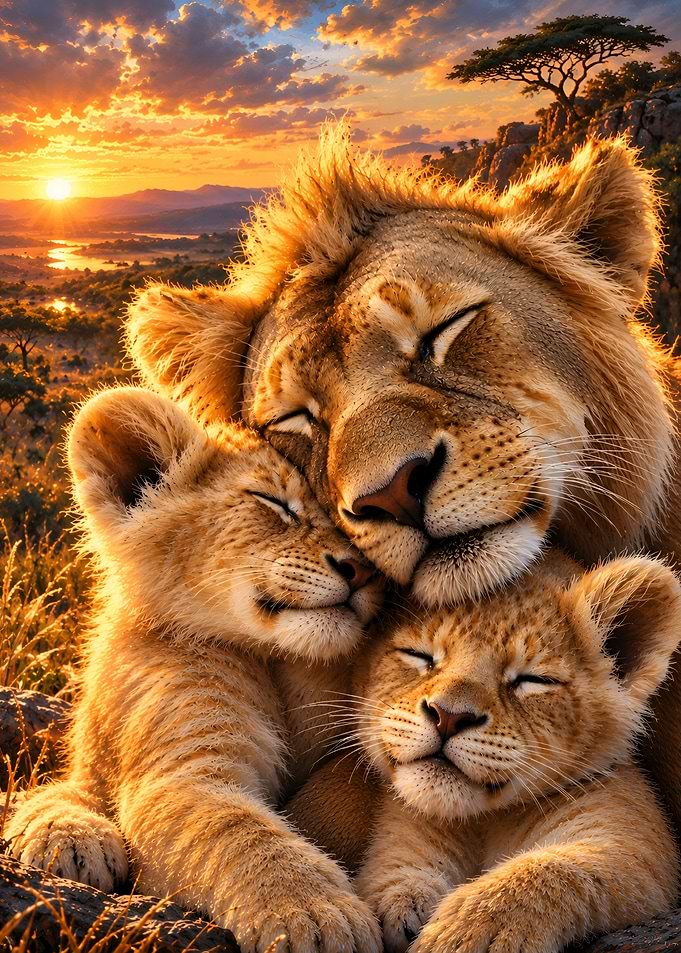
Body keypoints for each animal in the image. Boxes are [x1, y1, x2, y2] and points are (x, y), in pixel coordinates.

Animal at [4, 386, 383, 953]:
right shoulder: (183, 765)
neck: (285, 661)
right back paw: (69, 842)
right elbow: (241, 834)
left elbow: (354, 783)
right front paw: (318, 918)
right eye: (272, 501)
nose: (362, 570)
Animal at [288, 550, 681, 953]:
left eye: (532, 680)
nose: (448, 716)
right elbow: (395, 866)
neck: (478, 821)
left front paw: (470, 930)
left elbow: (556, 868)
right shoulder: (404, 829)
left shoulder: (633, 841)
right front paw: (404, 902)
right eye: (419, 655)